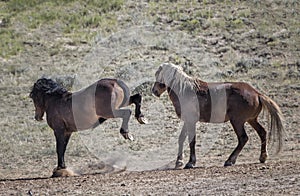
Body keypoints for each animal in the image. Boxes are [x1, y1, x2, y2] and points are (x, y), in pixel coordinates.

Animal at [152, 62, 284, 168]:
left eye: (159, 74)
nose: (154, 91)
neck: (185, 90)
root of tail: (256, 93)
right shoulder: (187, 121)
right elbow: (181, 139)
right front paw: (179, 162)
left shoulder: (191, 121)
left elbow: (192, 140)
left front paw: (190, 162)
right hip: (251, 120)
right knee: (262, 132)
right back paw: (262, 157)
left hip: (237, 121)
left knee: (243, 138)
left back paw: (230, 161)